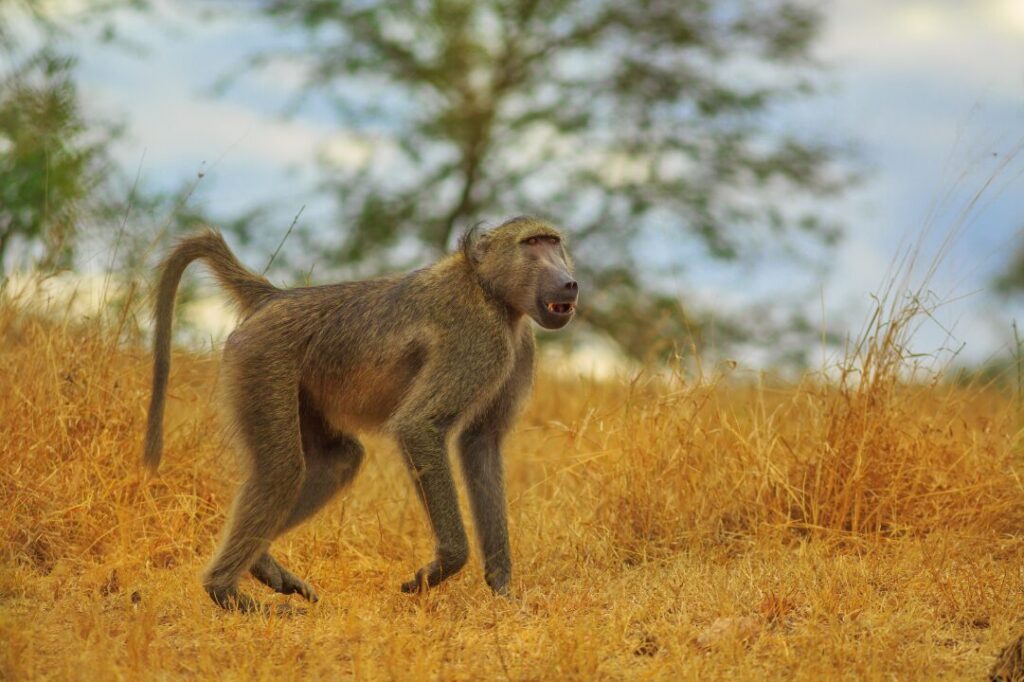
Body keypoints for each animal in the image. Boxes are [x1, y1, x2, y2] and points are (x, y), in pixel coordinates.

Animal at [143, 216, 579, 611]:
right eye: (532, 243)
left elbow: (481, 445)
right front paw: (438, 570)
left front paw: (503, 591)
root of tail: (276, 298)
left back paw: (260, 565)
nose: (570, 282)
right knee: (282, 470)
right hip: (261, 358)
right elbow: (419, 426)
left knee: (337, 461)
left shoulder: (518, 348)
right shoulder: (479, 338)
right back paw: (227, 593)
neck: (489, 291)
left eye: (554, 242)